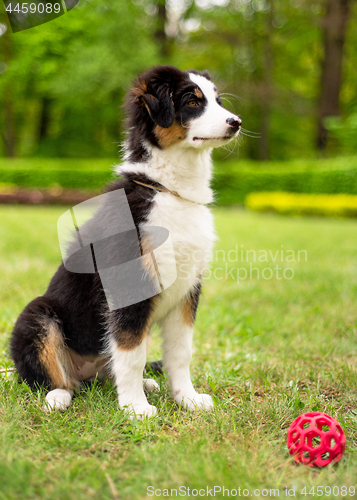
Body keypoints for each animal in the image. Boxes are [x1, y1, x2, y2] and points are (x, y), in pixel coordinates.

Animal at [11, 65, 241, 418]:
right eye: (192, 101)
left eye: (218, 100)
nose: (236, 122)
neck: (167, 190)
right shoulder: (129, 284)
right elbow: (131, 353)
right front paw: (135, 408)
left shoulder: (188, 288)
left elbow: (180, 353)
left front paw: (187, 398)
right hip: (36, 315)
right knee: (56, 377)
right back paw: (58, 397)